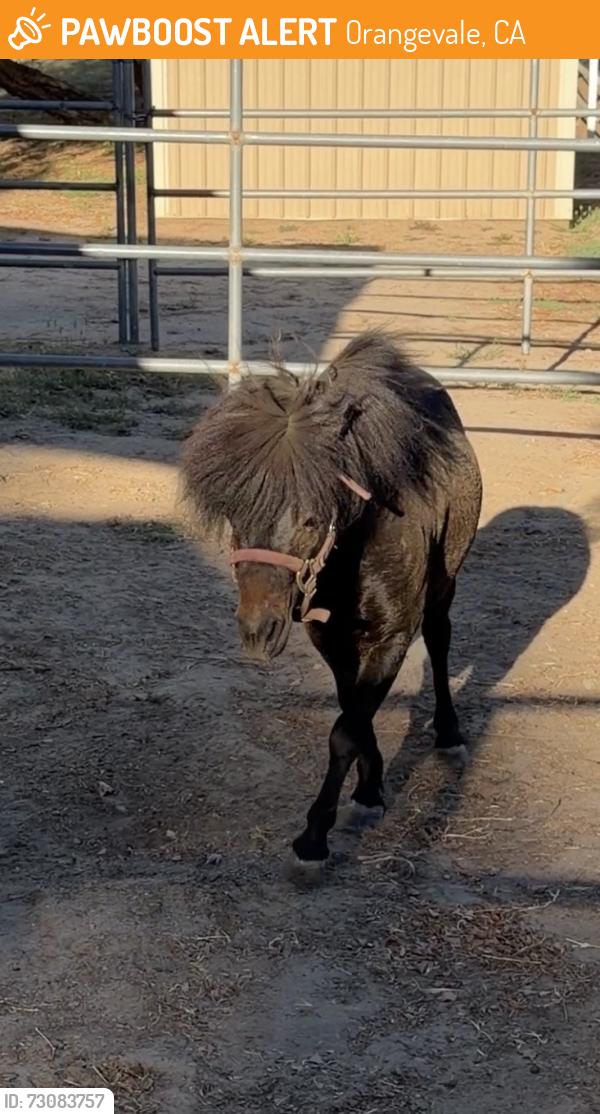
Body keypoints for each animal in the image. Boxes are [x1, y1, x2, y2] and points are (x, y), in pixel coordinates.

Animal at [183, 332, 482, 866]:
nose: (258, 632)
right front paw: (370, 787)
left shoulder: (392, 636)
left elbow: (345, 730)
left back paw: (449, 734)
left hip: (444, 585)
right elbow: (352, 713)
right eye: (237, 514)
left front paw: (315, 835)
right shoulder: (331, 638)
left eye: (309, 518)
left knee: (440, 640)